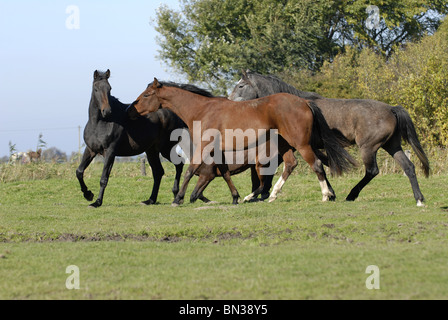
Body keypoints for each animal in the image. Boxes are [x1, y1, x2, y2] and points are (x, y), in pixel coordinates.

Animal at [77, 69, 189, 208]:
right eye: (96, 88)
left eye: (109, 89)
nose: (107, 111)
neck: (99, 123)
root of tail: (176, 114)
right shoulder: (91, 149)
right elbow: (79, 171)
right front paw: (88, 195)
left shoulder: (110, 152)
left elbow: (103, 178)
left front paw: (97, 202)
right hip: (151, 151)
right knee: (158, 172)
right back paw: (150, 200)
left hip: (166, 149)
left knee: (179, 164)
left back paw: (177, 196)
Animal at [128, 79, 356, 206]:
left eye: (146, 95)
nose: (130, 110)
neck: (201, 110)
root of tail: (305, 102)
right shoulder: (217, 151)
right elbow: (225, 173)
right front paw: (235, 197)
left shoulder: (204, 147)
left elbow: (190, 171)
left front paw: (179, 199)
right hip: (284, 145)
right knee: (290, 165)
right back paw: (270, 196)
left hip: (301, 144)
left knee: (315, 165)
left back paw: (325, 195)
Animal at [231, 70, 430, 206]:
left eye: (240, 85)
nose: (229, 100)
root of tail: (392, 109)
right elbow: (322, 165)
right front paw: (330, 193)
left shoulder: (296, 145)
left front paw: (259, 194)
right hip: (392, 145)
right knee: (408, 167)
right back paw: (419, 199)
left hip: (368, 148)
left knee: (372, 171)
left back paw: (351, 195)